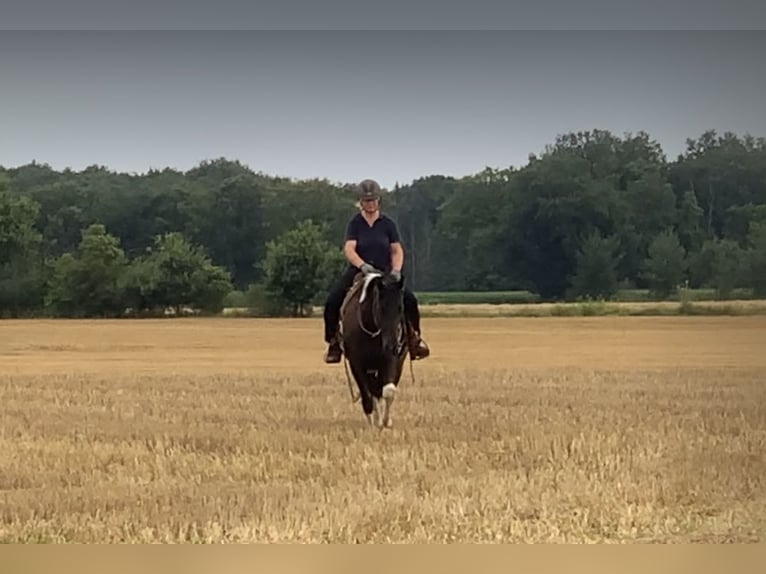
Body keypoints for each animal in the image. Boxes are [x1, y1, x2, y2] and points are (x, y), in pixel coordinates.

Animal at [340, 270, 412, 428]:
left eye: (400, 308)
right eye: (381, 307)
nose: (392, 345)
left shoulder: (390, 360)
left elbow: (388, 390)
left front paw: (385, 422)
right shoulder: (356, 363)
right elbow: (367, 395)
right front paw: (374, 423)